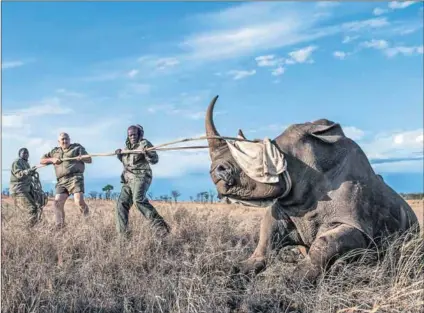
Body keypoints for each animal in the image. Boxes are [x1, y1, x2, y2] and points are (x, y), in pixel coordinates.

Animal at [205, 94, 420, 280]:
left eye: (256, 157)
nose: (216, 172)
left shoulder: (358, 225)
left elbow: (325, 243)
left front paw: (296, 279)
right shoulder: (287, 206)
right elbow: (266, 236)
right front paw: (238, 270)